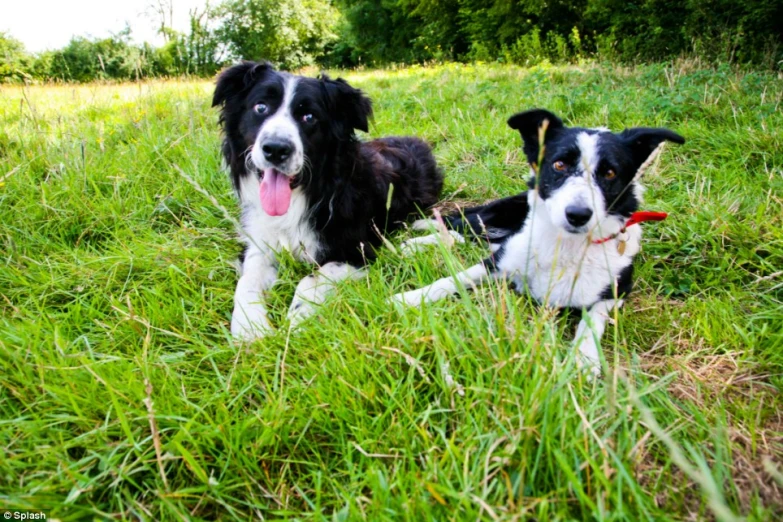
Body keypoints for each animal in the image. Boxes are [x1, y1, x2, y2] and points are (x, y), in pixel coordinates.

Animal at [213, 61, 448, 340]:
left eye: (309, 117)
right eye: (260, 107)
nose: (276, 149)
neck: (305, 194)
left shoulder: (358, 249)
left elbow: (313, 278)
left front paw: (297, 318)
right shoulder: (260, 242)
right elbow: (247, 280)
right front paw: (250, 329)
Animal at [396, 107, 684, 374]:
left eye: (610, 173)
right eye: (559, 165)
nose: (577, 214)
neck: (564, 245)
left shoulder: (616, 292)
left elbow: (592, 321)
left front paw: (584, 359)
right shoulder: (498, 263)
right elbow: (450, 279)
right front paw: (408, 298)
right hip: (501, 213)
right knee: (461, 226)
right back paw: (418, 240)